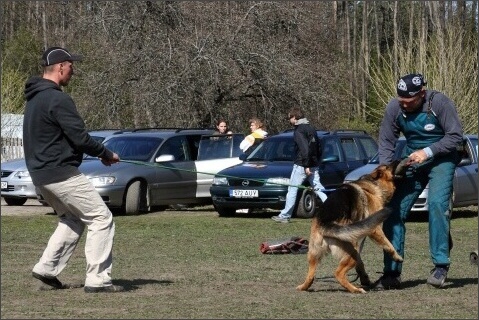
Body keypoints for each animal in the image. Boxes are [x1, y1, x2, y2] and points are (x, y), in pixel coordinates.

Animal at [296, 161, 404, 294]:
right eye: (389, 166)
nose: (399, 159)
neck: (374, 185)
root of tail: (325, 224)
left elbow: (361, 264)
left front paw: (364, 278)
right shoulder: (375, 229)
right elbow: (388, 244)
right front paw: (397, 257)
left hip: (315, 253)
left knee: (311, 276)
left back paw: (303, 287)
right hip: (352, 250)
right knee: (338, 273)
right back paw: (355, 289)